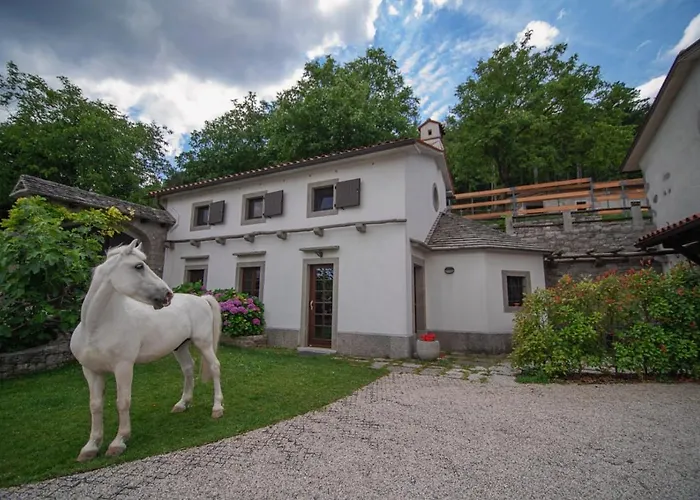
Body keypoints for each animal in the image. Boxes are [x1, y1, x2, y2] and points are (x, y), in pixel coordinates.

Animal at [69, 238, 224, 462]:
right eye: (138, 266)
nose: (167, 295)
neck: (96, 327)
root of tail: (202, 298)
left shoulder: (123, 367)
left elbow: (122, 402)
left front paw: (119, 442)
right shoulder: (91, 371)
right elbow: (95, 405)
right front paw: (91, 446)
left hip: (203, 343)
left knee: (214, 367)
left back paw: (217, 408)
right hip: (180, 347)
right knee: (188, 369)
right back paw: (182, 404)